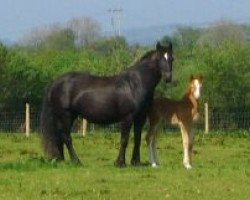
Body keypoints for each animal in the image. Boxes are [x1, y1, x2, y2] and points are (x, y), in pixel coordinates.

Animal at [40, 41, 174, 166]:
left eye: (172, 58)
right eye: (159, 59)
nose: (168, 78)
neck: (135, 84)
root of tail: (55, 83)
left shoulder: (141, 117)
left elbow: (137, 138)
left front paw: (135, 162)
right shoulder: (127, 117)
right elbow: (124, 139)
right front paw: (120, 162)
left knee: (59, 137)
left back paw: (60, 160)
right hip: (66, 116)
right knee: (66, 137)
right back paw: (76, 161)